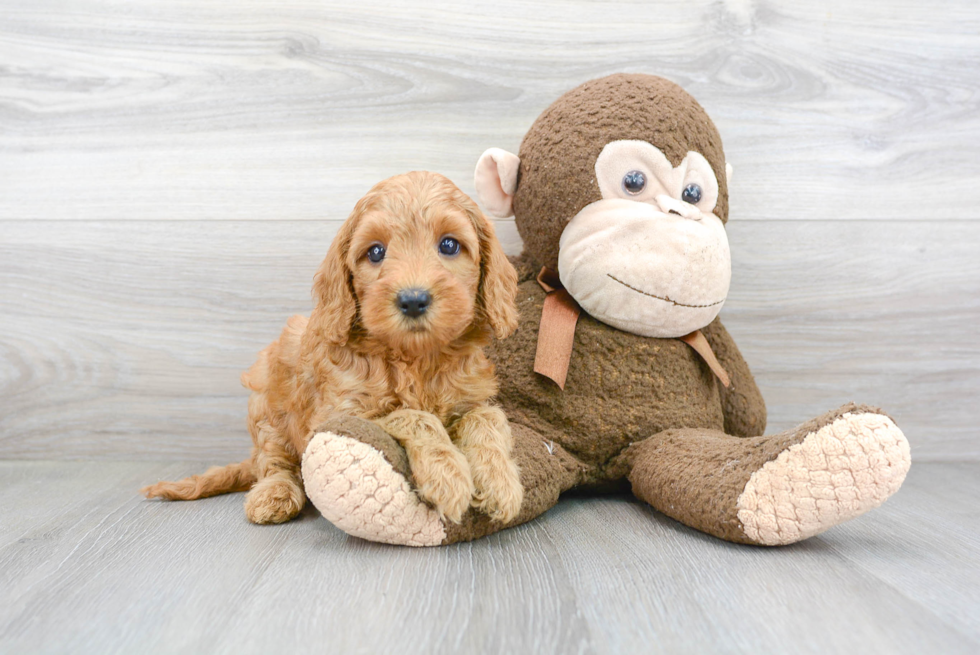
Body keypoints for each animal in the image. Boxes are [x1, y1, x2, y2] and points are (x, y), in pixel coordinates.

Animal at [143, 172, 524, 524]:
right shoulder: (339, 414)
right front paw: (448, 475)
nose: (413, 300)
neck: (414, 358)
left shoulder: (471, 396)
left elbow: (488, 417)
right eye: (376, 252)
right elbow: (413, 416)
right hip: (266, 403)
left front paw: (499, 481)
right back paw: (274, 495)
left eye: (449, 245)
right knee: (273, 461)